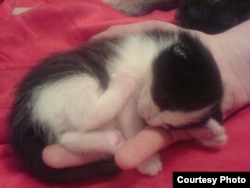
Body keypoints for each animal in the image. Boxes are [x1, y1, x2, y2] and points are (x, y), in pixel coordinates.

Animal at [9, 29, 226, 184]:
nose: (150, 119)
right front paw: (147, 161)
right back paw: (122, 83)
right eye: (165, 98)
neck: (148, 59)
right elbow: (132, 125)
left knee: (66, 138)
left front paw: (210, 132)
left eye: (170, 126)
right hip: (72, 78)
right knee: (84, 115)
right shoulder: (131, 91)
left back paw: (111, 140)